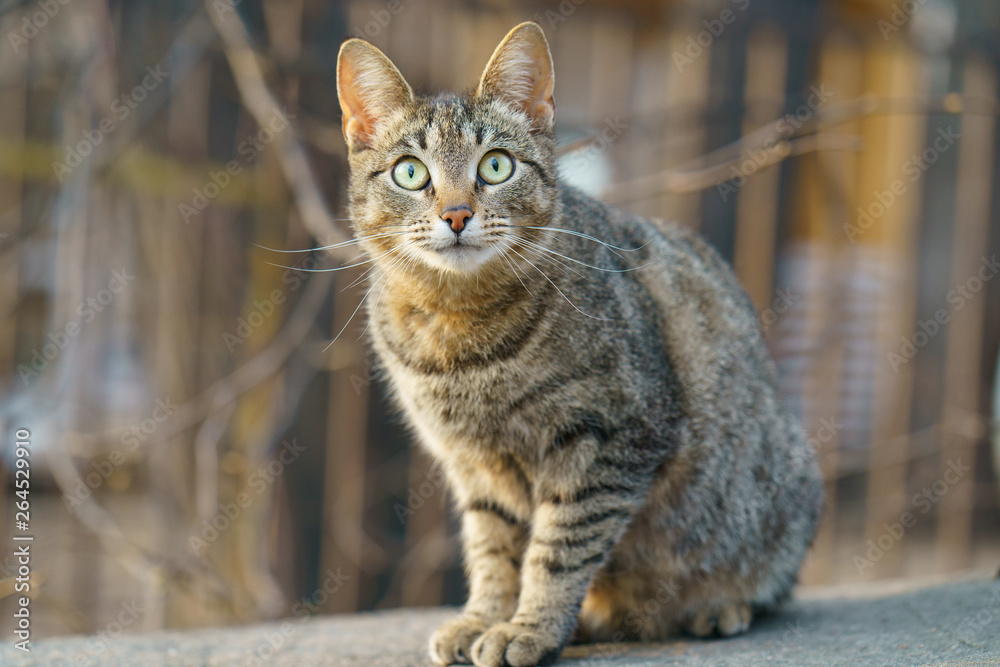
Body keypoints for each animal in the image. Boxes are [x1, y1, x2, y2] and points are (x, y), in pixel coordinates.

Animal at [334, 20, 820, 667]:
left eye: (496, 166)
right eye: (410, 173)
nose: (457, 215)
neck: (460, 334)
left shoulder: (611, 438)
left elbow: (558, 549)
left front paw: (529, 628)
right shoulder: (475, 466)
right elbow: (494, 553)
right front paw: (485, 617)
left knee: (766, 581)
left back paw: (718, 606)